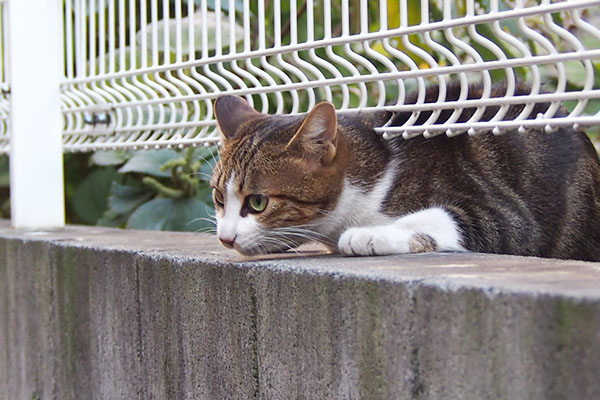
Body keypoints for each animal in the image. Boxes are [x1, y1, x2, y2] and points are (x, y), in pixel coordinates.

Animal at [210, 83, 600, 260]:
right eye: (218, 198)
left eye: (257, 202)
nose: (224, 238)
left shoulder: (509, 217)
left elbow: (442, 217)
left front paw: (371, 235)